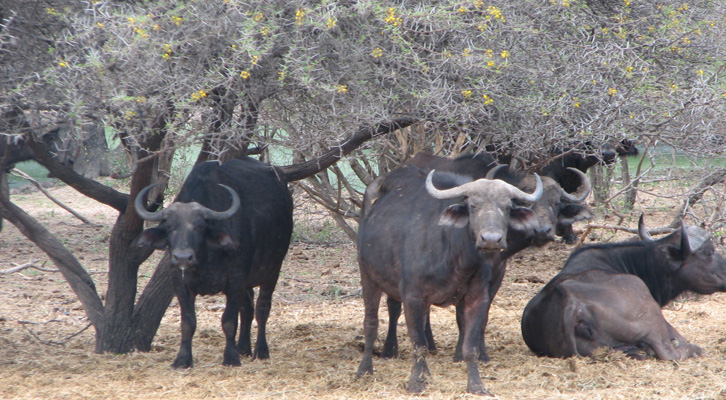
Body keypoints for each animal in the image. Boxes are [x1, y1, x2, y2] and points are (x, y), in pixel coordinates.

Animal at [134, 157, 293, 369]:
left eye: (200, 226)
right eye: (169, 227)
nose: (183, 257)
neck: (205, 259)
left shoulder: (236, 280)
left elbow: (229, 321)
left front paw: (231, 358)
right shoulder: (181, 283)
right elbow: (188, 323)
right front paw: (182, 359)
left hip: (272, 271)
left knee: (262, 308)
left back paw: (261, 350)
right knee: (248, 308)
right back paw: (243, 348)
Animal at [356, 161, 543, 396]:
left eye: (507, 207)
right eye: (473, 205)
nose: (491, 239)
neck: (456, 256)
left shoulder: (476, 298)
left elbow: (470, 346)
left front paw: (476, 385)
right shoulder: (412, 296)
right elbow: (419, 344)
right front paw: (416, 384)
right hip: (367, 274)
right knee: (370, 323)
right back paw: (364, 371)